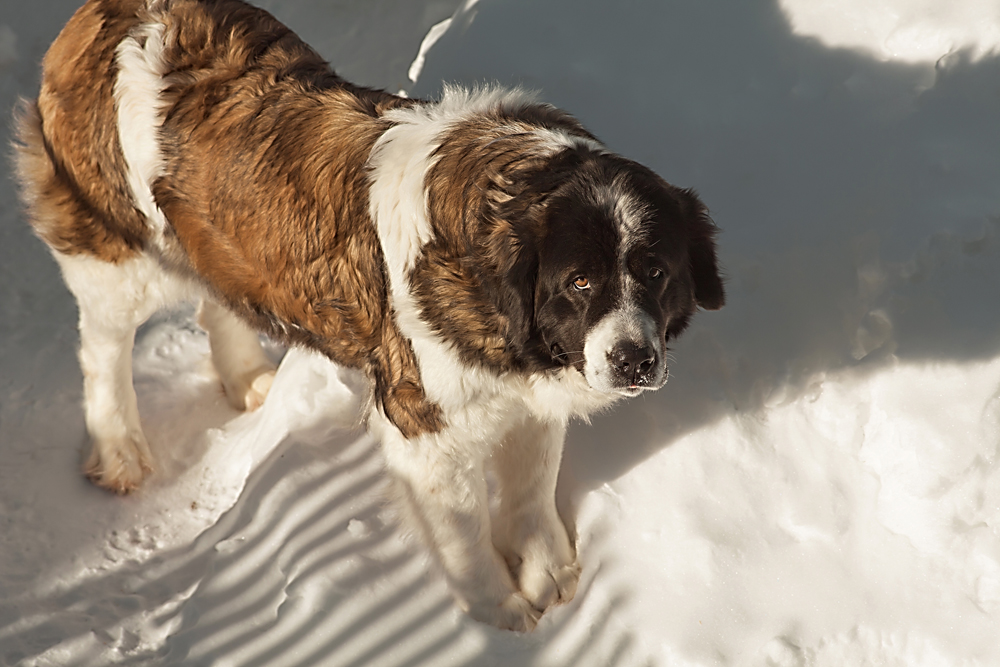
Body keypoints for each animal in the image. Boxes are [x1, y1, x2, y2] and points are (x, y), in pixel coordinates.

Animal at [11, 0, 724, 632]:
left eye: (656, 273)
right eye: (579, 282)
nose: (634, 360)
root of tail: (104, 14)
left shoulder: (527, 393)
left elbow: (531, 484)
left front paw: (548, 573)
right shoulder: (426, 425)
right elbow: (462, 528)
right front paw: (498, 616)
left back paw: (247, 381)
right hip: (117, 251)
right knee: (103, 345)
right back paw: (118, 450)